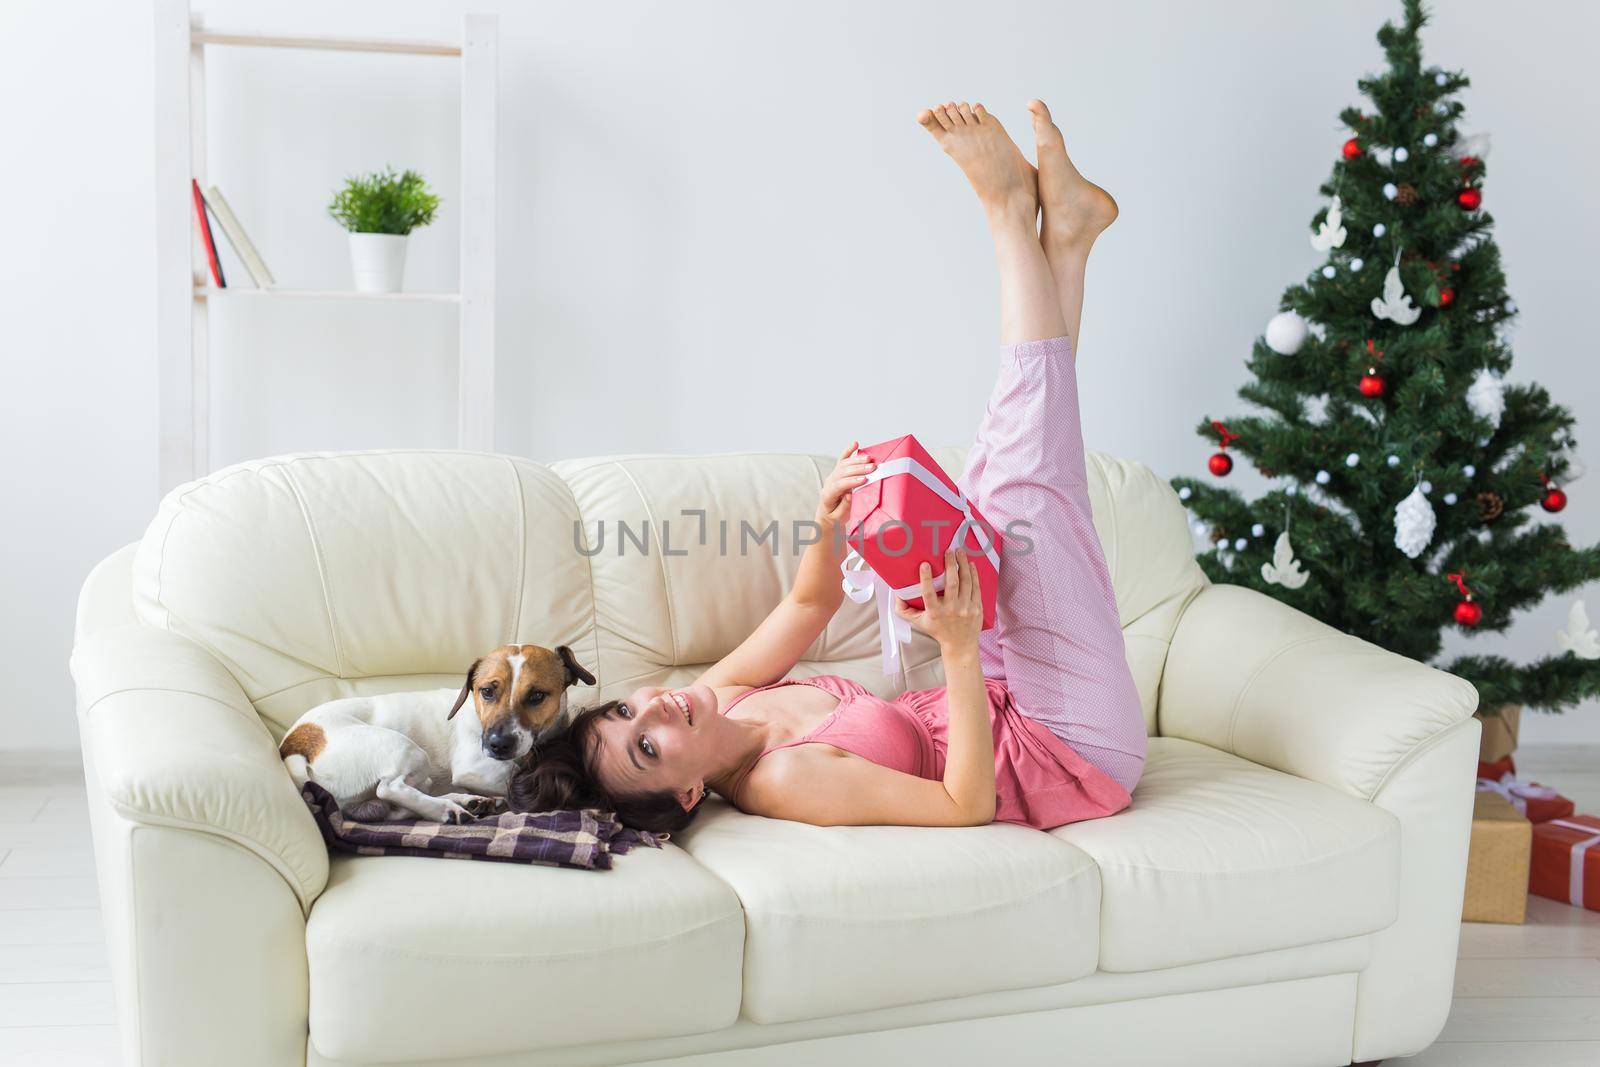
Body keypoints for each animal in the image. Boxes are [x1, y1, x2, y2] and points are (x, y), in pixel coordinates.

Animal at [278, 643, 598, 825]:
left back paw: (465, 802)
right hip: (408, 751)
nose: (497, 745)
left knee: (396, 805)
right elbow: (512, 776)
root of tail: (296, 743)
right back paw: (447, 808)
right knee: (390, 787)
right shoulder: (475, 767)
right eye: (487, 691)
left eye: (537, 695)